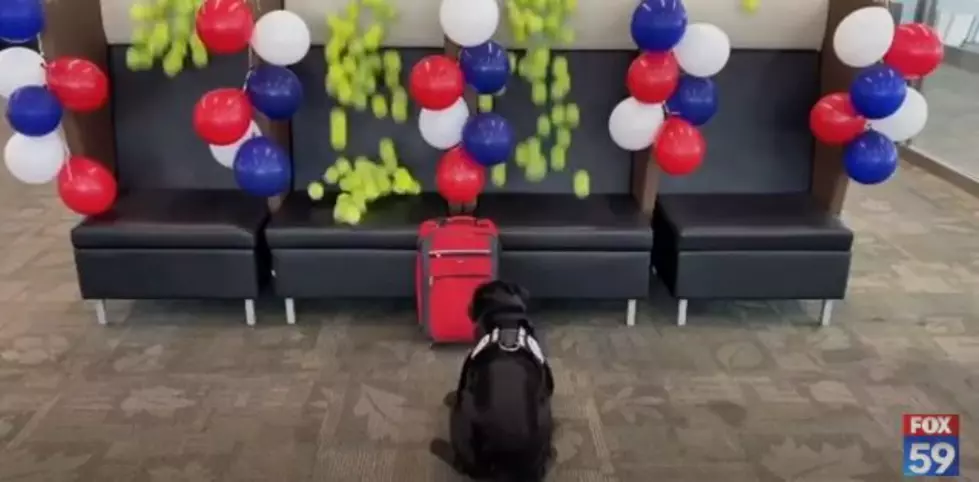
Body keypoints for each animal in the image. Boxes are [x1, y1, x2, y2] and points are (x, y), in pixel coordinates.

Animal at [432, 280, 556, 480]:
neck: (507, 320)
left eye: (473, 298)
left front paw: (449, 397)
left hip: (461, 415)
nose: (467, 306)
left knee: (460, 464)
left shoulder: (466, 370)